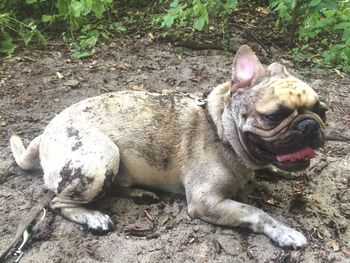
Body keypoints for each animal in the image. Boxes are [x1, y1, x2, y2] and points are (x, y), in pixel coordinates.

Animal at [10, 45, 326, 250]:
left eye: (322, 110)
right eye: (273, 116)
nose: (309, 126)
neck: (220, 131)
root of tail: (45, 133)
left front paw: (283, 171)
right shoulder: (206, 200)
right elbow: (255, 212)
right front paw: (285, 232)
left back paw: (139, 194)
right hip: (101, 159)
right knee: (58, 202)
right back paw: (93, 217)